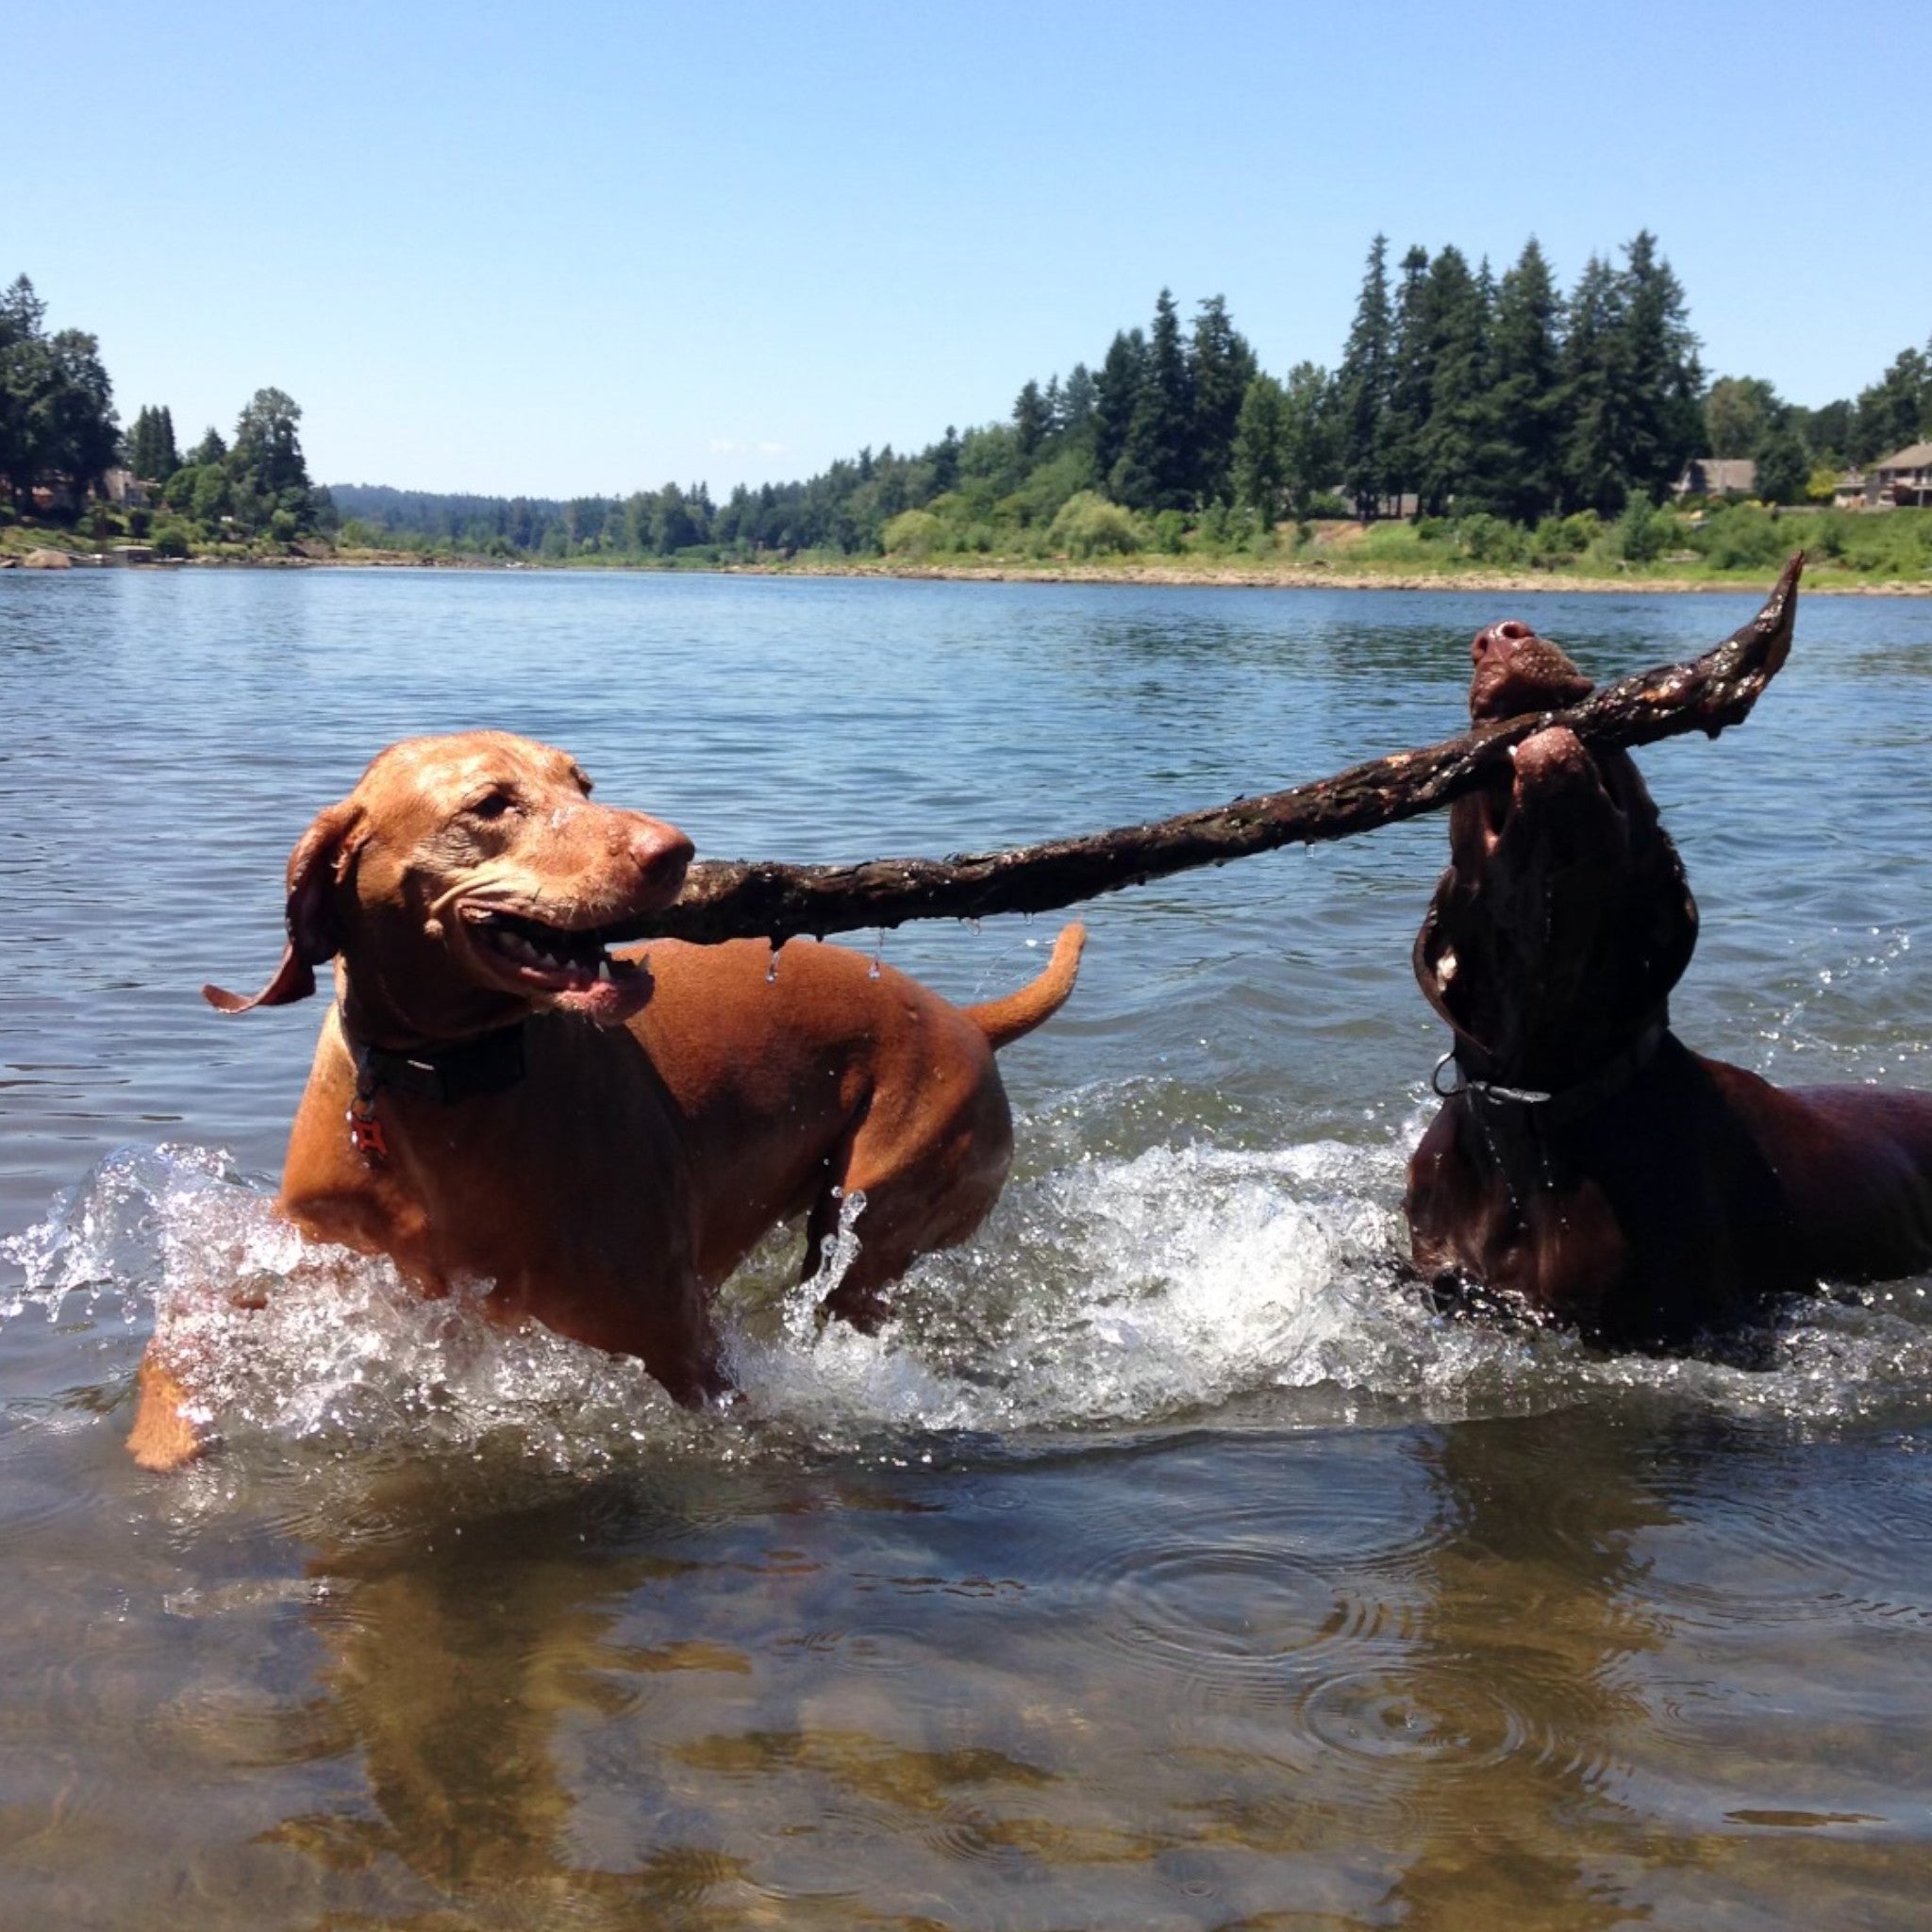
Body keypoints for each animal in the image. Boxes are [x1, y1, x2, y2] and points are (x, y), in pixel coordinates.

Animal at [128, 730, 1081, 1468]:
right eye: (491, 804)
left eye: (582, 785)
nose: (676, 850)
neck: (442, 1086)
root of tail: (967, 1021)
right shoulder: (308, 1266)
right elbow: (179, 1335)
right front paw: (162, 1442)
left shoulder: (678, 1340)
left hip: (881, 1209)